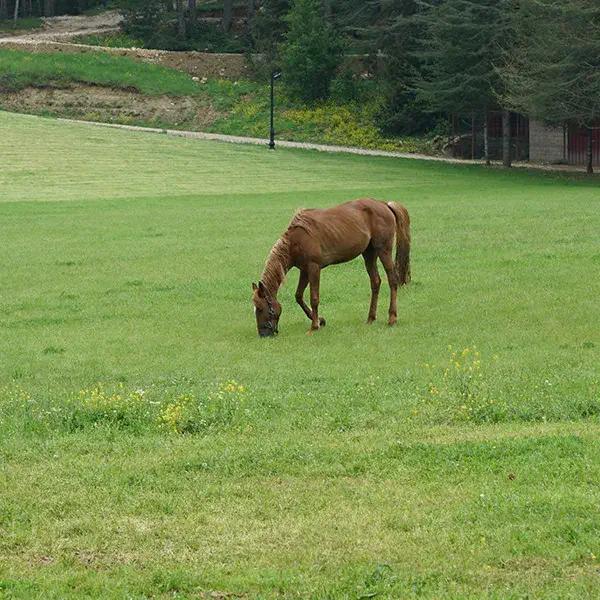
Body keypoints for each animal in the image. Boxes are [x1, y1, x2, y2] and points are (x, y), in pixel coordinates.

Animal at [251, 198, 410, 336]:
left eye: (260, 309)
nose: (263, 334)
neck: (296, 240)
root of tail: (384, 204)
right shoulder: (305, 270)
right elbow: (299, 296)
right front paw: (320, 320)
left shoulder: (314, 268)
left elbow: (314, 297)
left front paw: (314, 326)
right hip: (369, 254)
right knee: (375, 282)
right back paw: (370, 318)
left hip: (384, 250)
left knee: (392, 280)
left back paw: (392, 319)